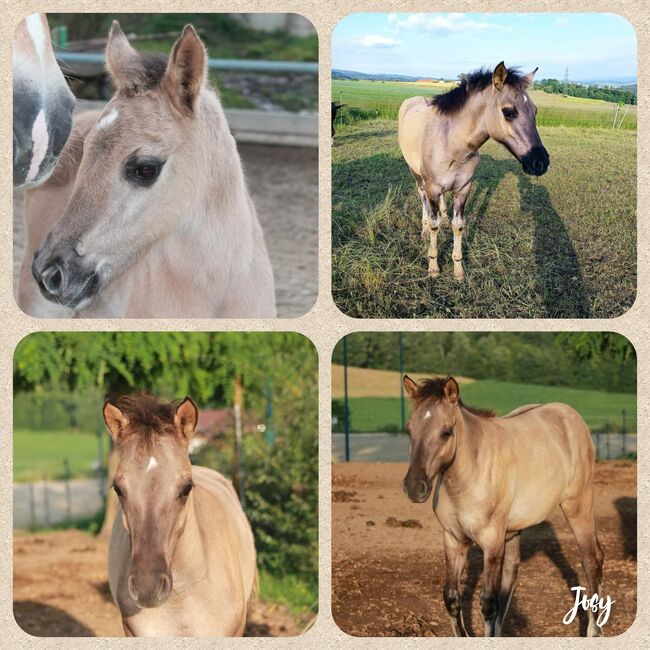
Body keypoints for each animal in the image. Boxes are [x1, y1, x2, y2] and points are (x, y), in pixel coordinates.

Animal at [400, 63, 548, 278]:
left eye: (535, 111)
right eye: (508, 112)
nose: (541, 162)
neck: (452, 144)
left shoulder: (463, 189)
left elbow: (458, 225)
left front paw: (458, 269)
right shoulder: (433, 188)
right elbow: (435, 224)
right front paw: (433, 266)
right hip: (417, 175)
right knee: (422, 198)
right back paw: (424, 228)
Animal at [400, 374, 604, 632]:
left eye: (446, 432)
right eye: (409, 430)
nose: (414, 487)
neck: (468, 475)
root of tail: (570, 414)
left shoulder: (491, 541)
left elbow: (488, 604)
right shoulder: (453, 539)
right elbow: (452, 599)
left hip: (578, 508)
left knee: (591, 560)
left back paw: (595, 631)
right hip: (514, 529)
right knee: (511, 573)